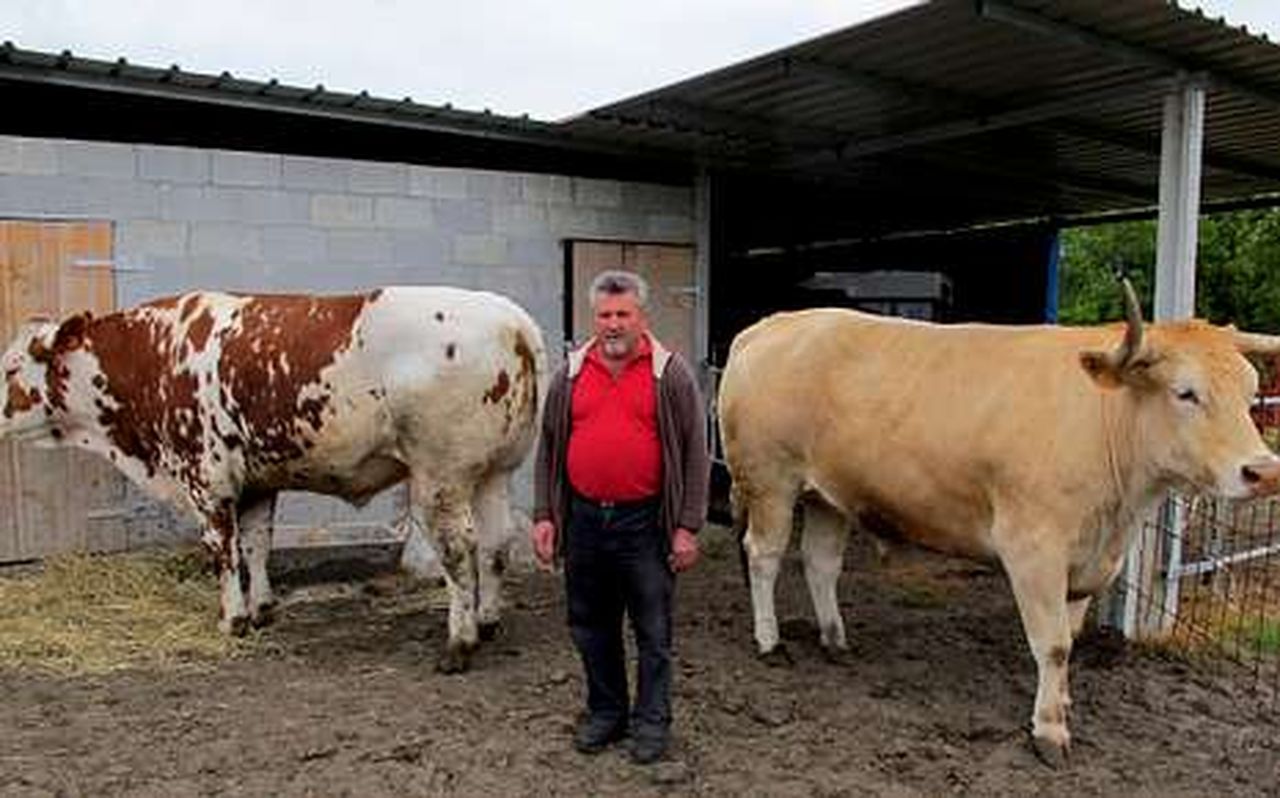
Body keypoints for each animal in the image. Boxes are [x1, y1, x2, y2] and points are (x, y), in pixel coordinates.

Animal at [0, 286, 542, 676]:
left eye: (10, 366)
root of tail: (513, 320)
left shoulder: (206, 478)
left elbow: (223, 552)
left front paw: (233, 620)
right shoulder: (258, 480)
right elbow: (257, 544)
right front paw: (262, 610)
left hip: (440, 476)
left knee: (459, 550)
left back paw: (459, 643)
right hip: (496, 470)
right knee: (496, 544)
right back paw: (487, 622)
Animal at [716, 285, 1280, 768]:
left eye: (1252, 393)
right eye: (1186, 393)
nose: (1264, 471)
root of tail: (775, 324)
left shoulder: (1086, 562)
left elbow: (1071, 637)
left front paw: (1063, 704)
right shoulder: (1033, 550)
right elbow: (1053, 643)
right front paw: (1049, 733)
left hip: (830, 495)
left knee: (821, 562)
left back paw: (835, 640)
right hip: (771, 480)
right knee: (764, 556)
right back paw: (770, 642)